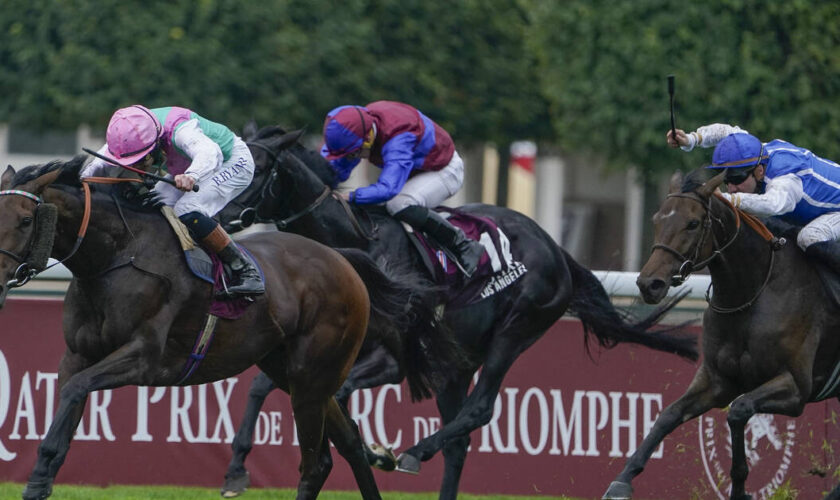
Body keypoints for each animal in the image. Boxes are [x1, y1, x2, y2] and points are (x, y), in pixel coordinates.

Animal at [0, 157, 418, 500]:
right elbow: (68, 402)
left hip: (314, 373)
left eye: (26, 220)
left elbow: (76, 389)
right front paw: (41, 479)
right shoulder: (77, 355)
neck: (117, 255)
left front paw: (37, 478)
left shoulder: (144, 357)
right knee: (347, 444)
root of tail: (341, 259)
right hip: (292, 372)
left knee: (315, 463)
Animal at [213, 126, 700, 500]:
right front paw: (236, 468)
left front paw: (373, 450)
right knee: (459, 441)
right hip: (456, 363)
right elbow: (260, 386)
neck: (355, 242)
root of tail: (556, 249)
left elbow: (342, 392)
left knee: (479, 410)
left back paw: (412, 452)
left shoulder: (391, 359)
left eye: (256, 170)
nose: (218, 214)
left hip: (515, 329)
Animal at [600, 169, 840, 500]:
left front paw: (739, 488)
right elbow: (669, 415)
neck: (753, 292)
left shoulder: (796, 387)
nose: (650, 284)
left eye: (693, 222)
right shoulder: (718, 380)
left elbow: (738, 410)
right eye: (657, 219)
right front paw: (622, 480)